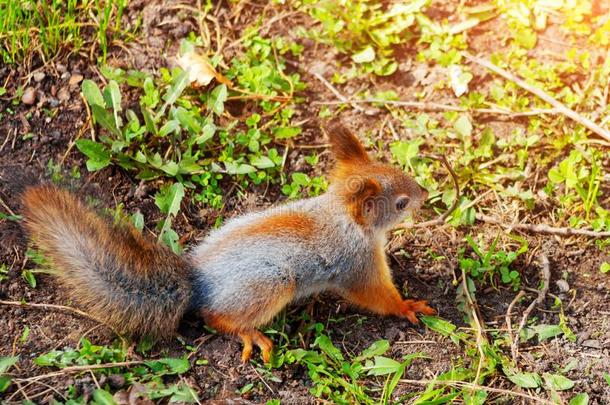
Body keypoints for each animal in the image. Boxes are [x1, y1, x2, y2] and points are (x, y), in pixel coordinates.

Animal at [21, 120, 432, 362]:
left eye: (394, 167)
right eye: (400, 203)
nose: (424, 193)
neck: (342, 216)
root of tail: (198, 283)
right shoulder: (357, 263)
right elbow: (376, 295)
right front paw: (407, 305)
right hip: (271, 283)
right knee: (214, 317)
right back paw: (250, 335)